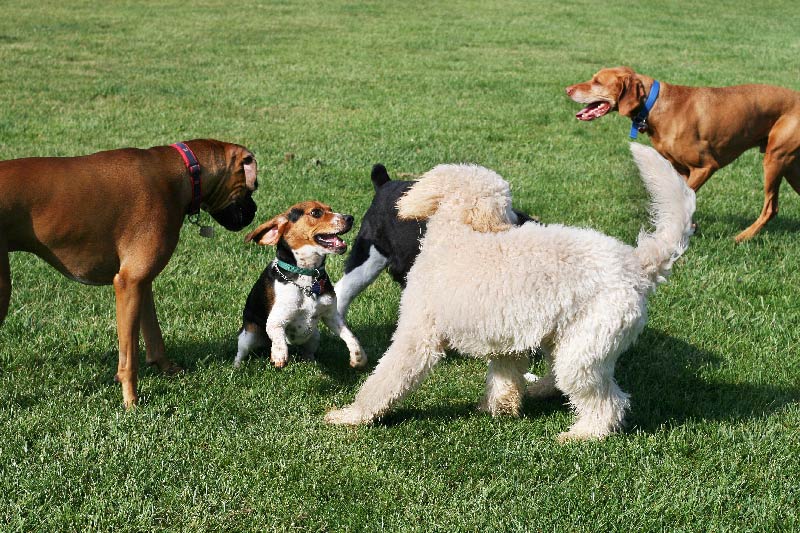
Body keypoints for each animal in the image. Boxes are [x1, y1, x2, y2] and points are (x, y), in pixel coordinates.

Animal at [0, 139, 256, 406]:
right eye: (252, 188)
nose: (255, 211)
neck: (184, 171)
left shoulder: (142, 284)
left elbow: (154, 334)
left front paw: (166, 368)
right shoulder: (129, 284)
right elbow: (129, 356)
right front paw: (131, 399)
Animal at [233, 202, 368, 368]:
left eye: (330, 209)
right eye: (316, 212)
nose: (350, 218)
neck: (306, 277)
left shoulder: (332, 315)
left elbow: (350, 336)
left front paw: (358, 357)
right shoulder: (275, 320)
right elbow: (279, 339)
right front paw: (279, 355)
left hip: (314, 336)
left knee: (308, 352)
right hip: (248, 336)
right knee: (241, 353)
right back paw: (237, 367)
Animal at [564, 66, 800, 241]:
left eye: (597, 81)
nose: (567, 89)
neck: (655, 105)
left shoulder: (706, 167)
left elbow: (683, 195)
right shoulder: (682, 170)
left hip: (775, 159)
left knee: (771, 208)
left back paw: (743, 237)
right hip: (790, 169)